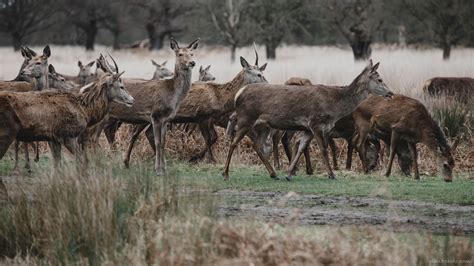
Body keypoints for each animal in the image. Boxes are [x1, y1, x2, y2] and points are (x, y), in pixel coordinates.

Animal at [0, 55, 133, 168]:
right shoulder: (69, 135)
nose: (132, 99)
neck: (85, 110)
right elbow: (81, 162)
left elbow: (57, 164)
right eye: (121, 86)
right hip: (6, 133)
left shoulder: (54, 138)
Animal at [108, 37, 200, 175]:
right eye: (180, 54)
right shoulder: (156, 115)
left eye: (192, 53)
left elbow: (163, 142)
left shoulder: (166, 119)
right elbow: (157, 142)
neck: (173, 96)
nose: (192, 63)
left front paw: (164, 169)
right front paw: (158, 170)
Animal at [224, 60, 394, 181]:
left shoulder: (308, 128)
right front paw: (332, 174)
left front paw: (289, 173)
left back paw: (273, 173)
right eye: (380, 79)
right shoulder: (316, 123)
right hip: (246, 117)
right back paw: (225, 173)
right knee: (234, 142)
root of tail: (239, 93)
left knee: (257, 145)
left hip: (263, 125)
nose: (391, 93)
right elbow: (323, 149)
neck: (334, 106)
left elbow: (301, 147)